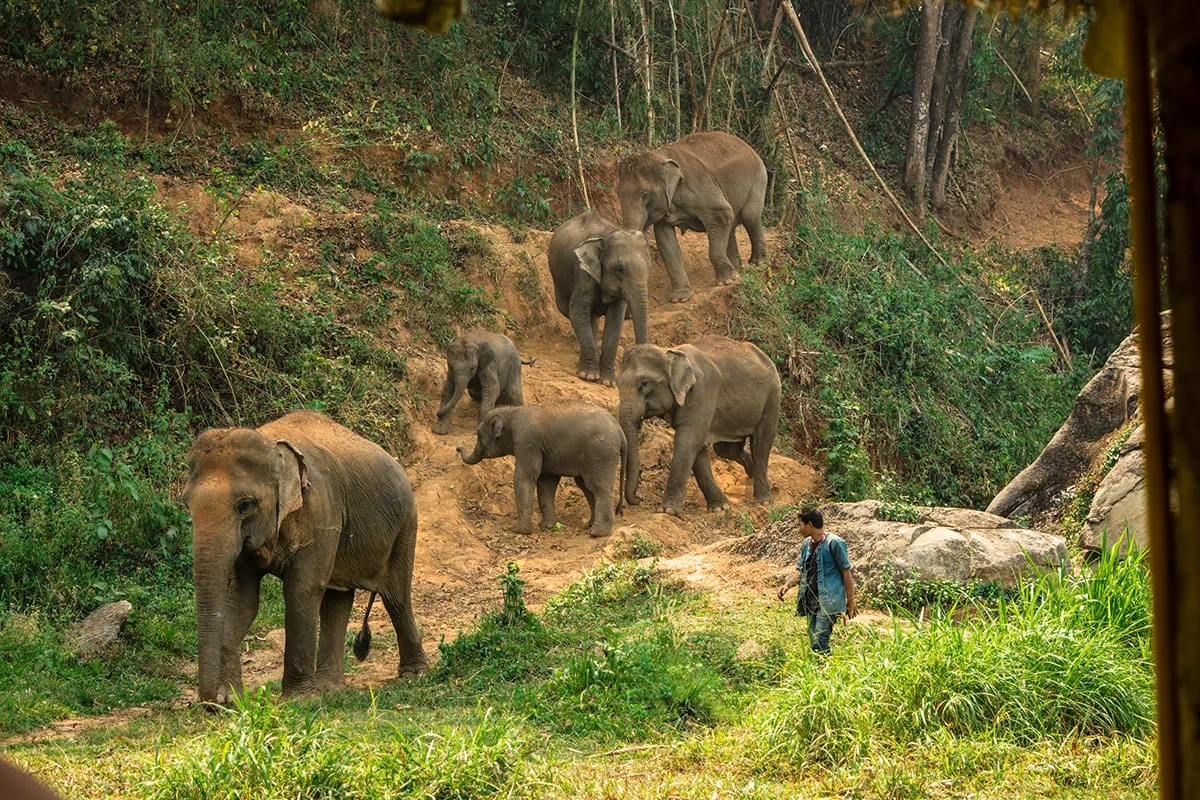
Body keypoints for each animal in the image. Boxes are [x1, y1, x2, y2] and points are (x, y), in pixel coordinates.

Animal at [182, 410, 428, 705]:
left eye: (245, 505)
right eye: (186, 503)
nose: (210, 704)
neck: (270, 444)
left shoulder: (322, 514)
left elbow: (302, 590)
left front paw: (297, 700)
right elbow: (242, 601)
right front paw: (231, 699)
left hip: (405, 524)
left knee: (396, 596)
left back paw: (414, 674)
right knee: (336, 599)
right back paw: (330, 688)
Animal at [457, 403, 626, 537]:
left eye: (479, 435)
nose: (458, 448)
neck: (512, 411)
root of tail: (620, 431)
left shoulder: (527, 443)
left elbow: (524, 477)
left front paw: (519, 530)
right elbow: (546, 482)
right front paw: (547, 526)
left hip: (601, 453)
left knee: (598, 487)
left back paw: (597, 533)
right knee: (586, 487)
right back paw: (589, 525)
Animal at [548, 211, 652, 386]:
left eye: (648, 267)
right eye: (619, 269)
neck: (607, 235)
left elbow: (615, 321)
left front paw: (608, 382)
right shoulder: (583, 273)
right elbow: (577, 310)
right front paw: (588, 376)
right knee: (570, 312)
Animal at [617, 131, 769, 303]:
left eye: (645, 194)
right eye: (618, 193)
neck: (660, 155)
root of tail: (750, 147)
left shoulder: (699, 185)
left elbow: (721, 213)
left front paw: (726, 282)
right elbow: (665, 241)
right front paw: (680, 298)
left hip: (758, 179)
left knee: (750, 216)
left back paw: (758, 265)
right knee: (731, 226)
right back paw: (738, 272)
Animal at [618, 335, 780, 516]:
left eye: (644, 383)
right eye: (617, 383)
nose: (638, 499)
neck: (669, 352)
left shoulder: (702, 392)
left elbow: (688, 440)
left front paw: (667, 510)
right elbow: (697, 446)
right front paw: (720, 508)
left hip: (772, 397)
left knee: (761, 443)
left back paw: (764, 501)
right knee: (726, 449)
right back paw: (750, 473)